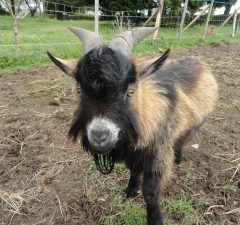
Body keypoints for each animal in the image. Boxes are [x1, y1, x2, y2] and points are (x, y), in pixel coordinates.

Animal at [47, 26, 218, 225]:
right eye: (79, 90)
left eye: (130, 91)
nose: (99, 136)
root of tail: (200, 63)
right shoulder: (133, 152)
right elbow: (134, 170)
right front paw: (130, 191)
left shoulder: (158, 155)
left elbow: (150, 191)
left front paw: (155, 219)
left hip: (196, 124)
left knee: (182, 140)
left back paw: (179, 157)